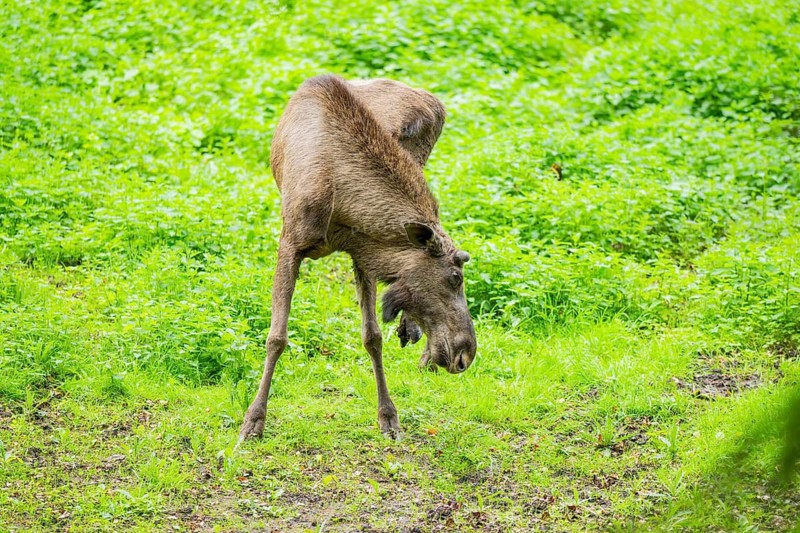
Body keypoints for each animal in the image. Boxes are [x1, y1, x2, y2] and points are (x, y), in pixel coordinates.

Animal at [238, 74, 477, 442]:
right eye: (456, 277)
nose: (466, 353)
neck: (342, 204)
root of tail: (434, 102)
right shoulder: (291, 243)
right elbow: (276, 337)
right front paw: (253, 421)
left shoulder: (363, 251)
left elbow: (372, 336)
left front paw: (389, 417)